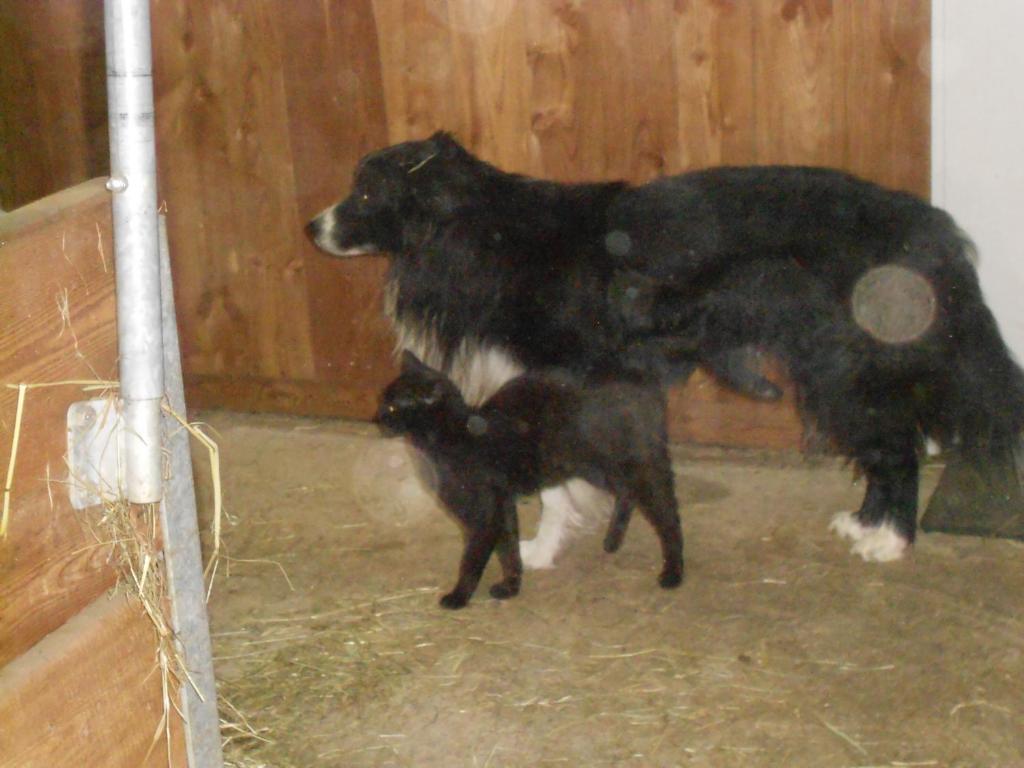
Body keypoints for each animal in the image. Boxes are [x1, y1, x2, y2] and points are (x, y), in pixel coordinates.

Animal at [309, 132, 1024, 565]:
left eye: (366, 192)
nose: (311, 226)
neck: (477, 231)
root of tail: (932, 228)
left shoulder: (562, 374)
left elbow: (556, 479)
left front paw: (541, 549)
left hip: (847, 367)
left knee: (897, 446)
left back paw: (890, 540)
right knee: (887, 445)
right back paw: (867, 524)